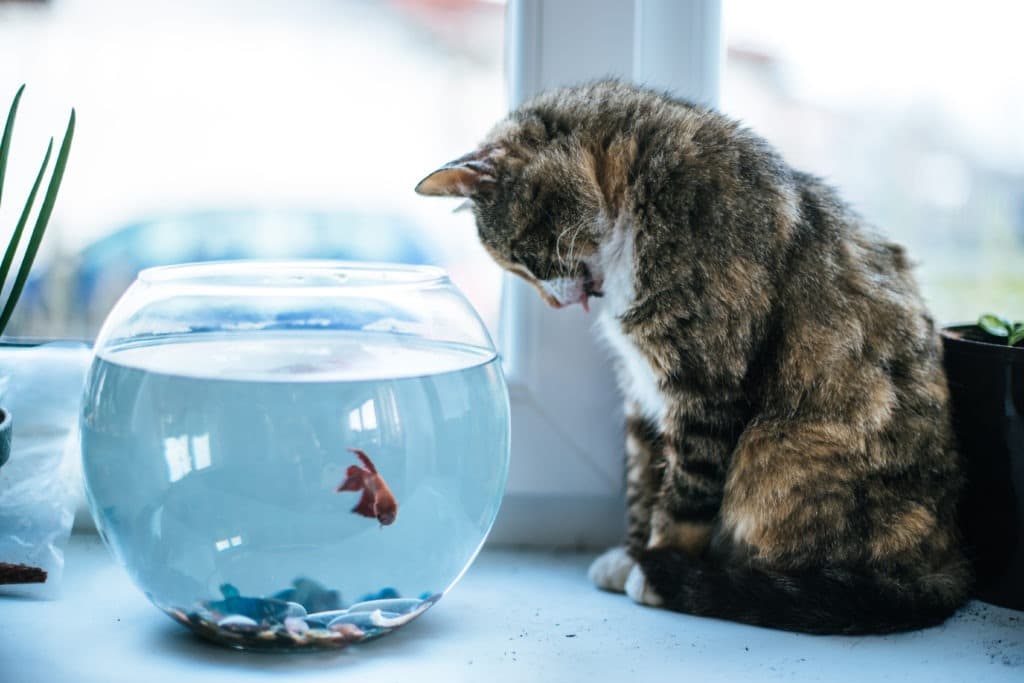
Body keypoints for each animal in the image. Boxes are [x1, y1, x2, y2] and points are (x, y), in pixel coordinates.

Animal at [413, 80, 966, 634]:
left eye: (522, 259)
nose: (557, 305)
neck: (636, 195)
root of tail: (947, 565)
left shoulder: (705, 386)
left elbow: (686, 494)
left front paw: (658, 567)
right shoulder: (640, 393)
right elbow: (643, 477)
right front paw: (632, 554)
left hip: (780, 449)